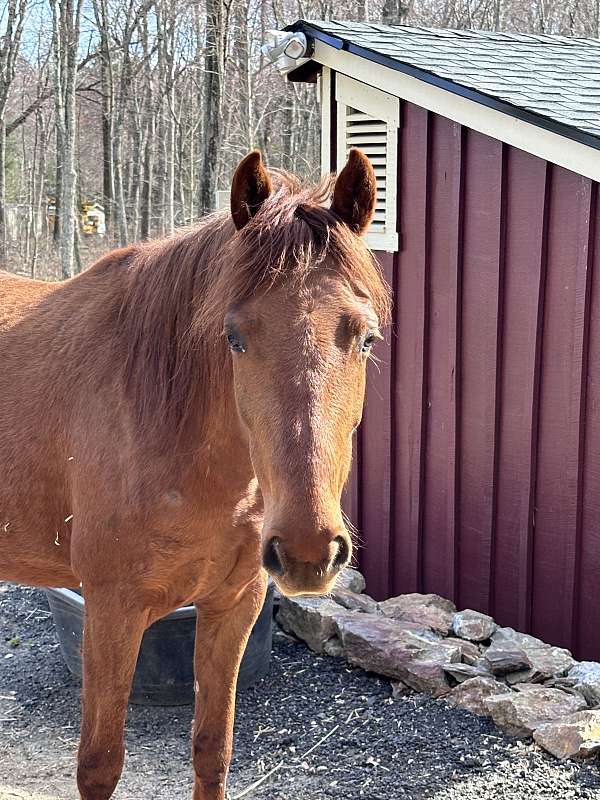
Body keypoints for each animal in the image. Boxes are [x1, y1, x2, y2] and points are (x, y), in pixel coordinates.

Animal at [0, 152, 392, 800]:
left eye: (364, 337)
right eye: (235, 337)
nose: (309, 550)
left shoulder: (233, 607)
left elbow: (213, 749)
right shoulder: (110, 612)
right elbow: (99, 764)